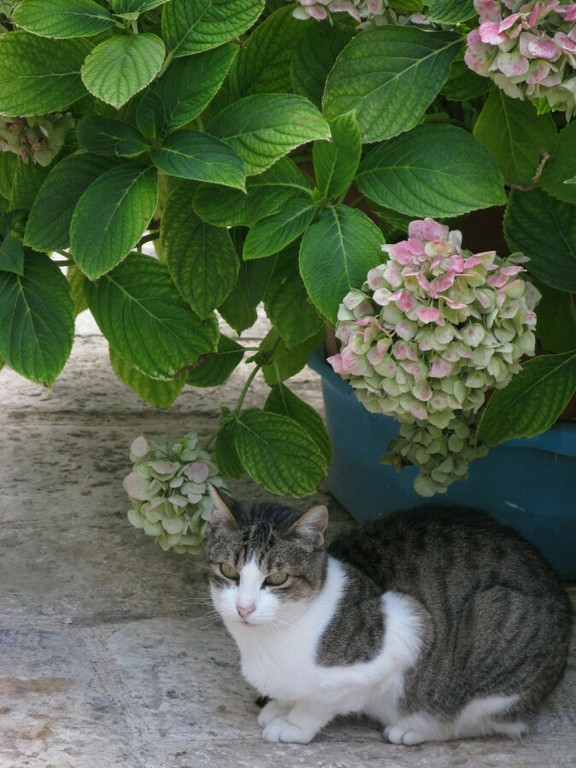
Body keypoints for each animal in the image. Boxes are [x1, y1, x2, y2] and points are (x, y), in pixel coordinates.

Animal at [206, 487, 572, 746]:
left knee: (491, 721)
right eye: (229, 571)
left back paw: (417, 729)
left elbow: (321, 703)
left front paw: (294, 724)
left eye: (277, 578)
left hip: (494, 625)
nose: (244, 607)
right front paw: (281, 705)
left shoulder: (406, 629)